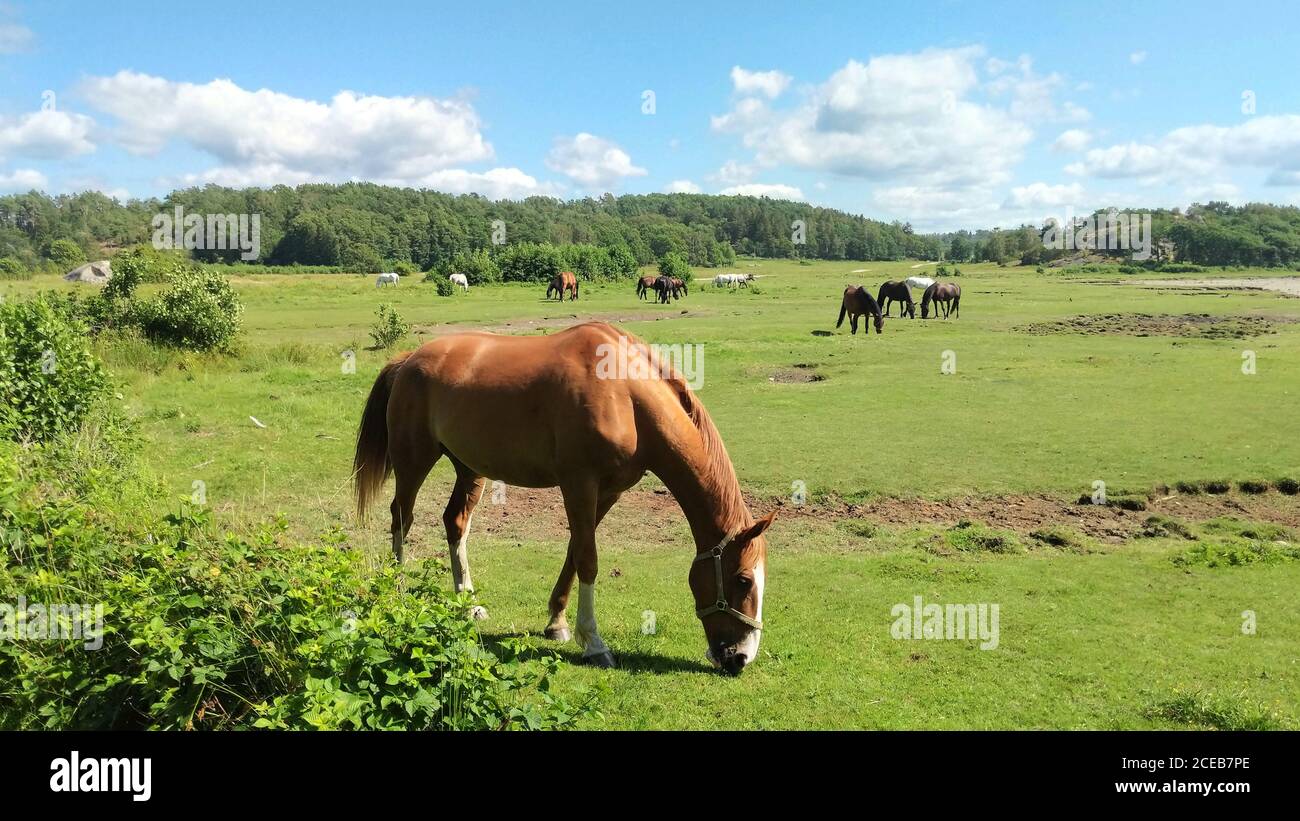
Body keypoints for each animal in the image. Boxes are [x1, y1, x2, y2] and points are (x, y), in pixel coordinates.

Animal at [353, 322, 774, 674]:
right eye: (742, 580)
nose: (741, 658)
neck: (624, 393)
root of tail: (409, 359)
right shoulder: (579, 483)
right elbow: (588, 559)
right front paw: (594, 643)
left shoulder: (609, 491)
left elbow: (575, 550)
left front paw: (556, 622)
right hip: (414, 461)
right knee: (401, 519)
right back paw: (399, 593)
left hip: (469, 469)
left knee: (455, 523)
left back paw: (468, 604)